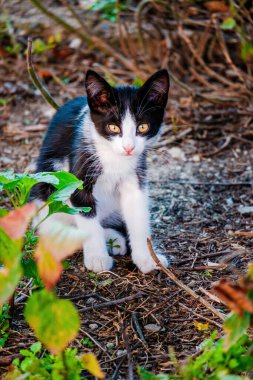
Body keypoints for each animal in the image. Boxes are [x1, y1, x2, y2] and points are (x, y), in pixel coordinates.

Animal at [31, 69, 170, 274]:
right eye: (113, 127)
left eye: (143, 127)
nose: (128, 148)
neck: (114, 158)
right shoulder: (78, 177)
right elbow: (87, 217)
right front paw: (97, 258)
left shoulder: (136, 178)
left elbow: (138, 216)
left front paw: (148, 258)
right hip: (48, 185)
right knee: (50, 226)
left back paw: (113, 237)